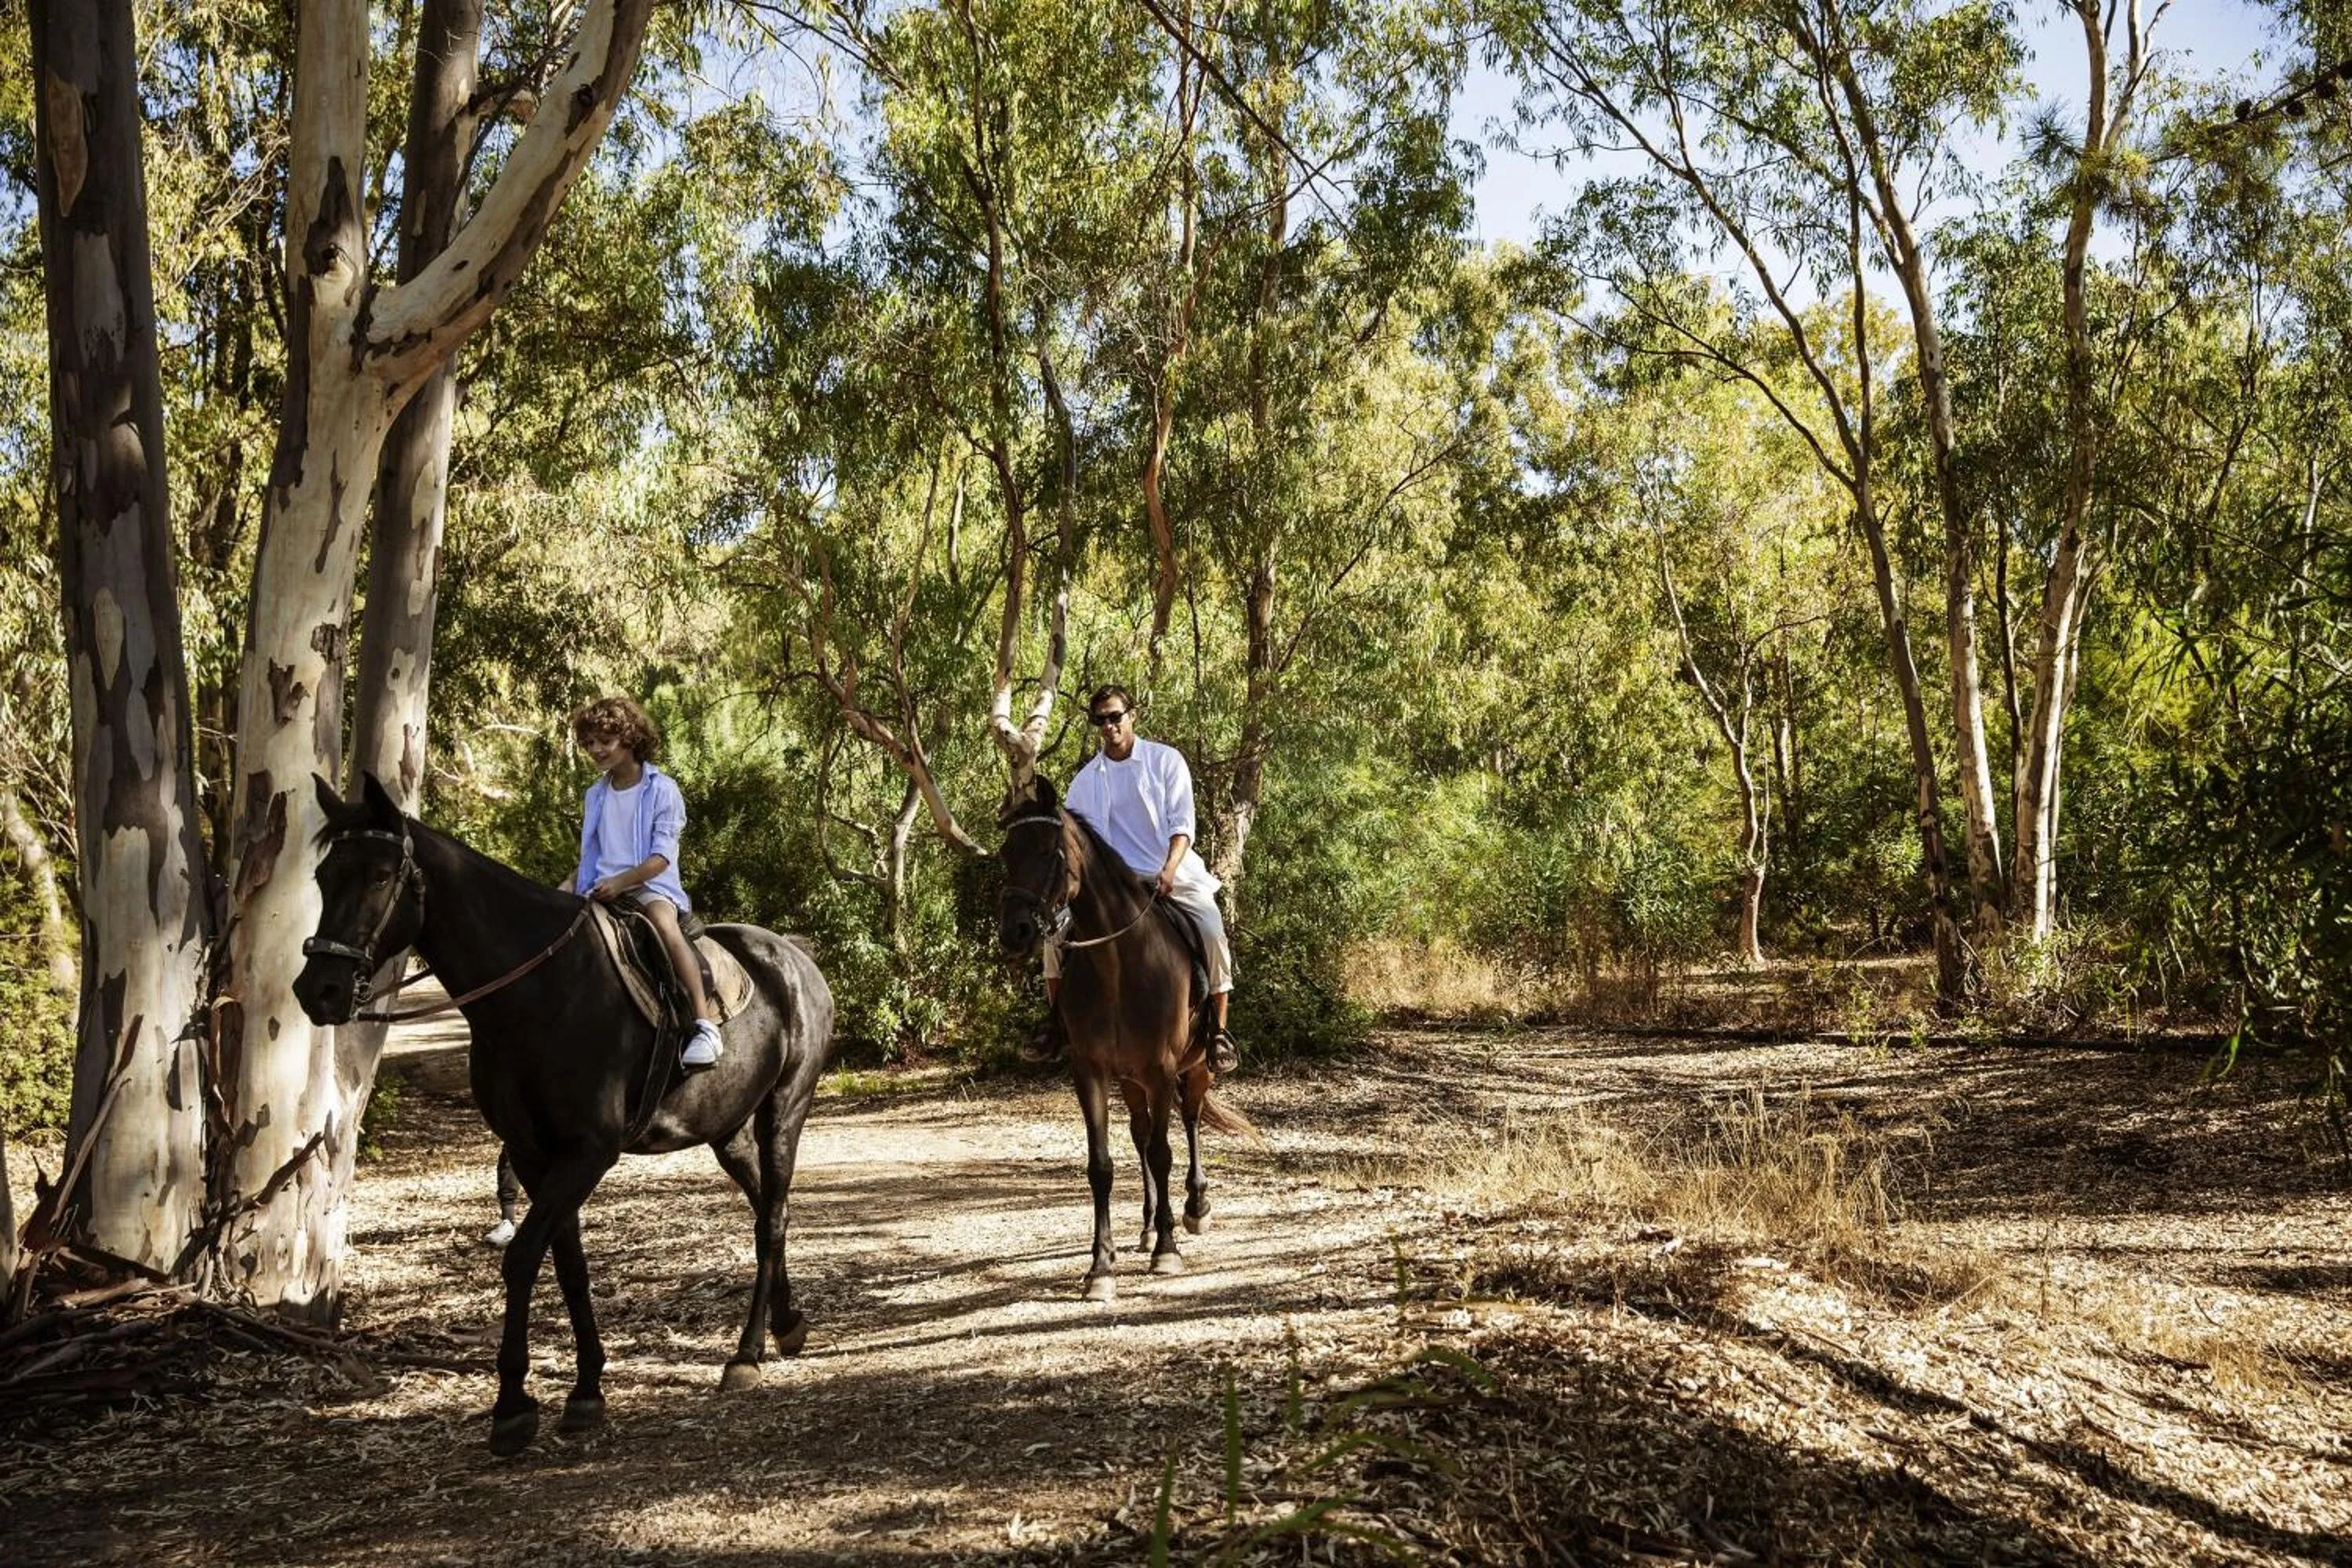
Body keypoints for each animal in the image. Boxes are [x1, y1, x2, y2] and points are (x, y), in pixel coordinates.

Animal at [293, 774, 833, 1455]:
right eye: (323, 875)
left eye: (382, 875)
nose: (320, 991)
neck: (537, 993)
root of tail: (793, 957)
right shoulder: (535, 1154)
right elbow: (569, 1265)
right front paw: (586, 1389)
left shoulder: (587, 1151)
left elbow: (524, 1256)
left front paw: (513, 1406)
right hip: (728, 1131)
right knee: (767, 1210)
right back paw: (788, 1324)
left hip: (784, 1112)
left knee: (773, 1218)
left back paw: (747, 1354)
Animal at [995, 775, 1254, 1301]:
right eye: (1008, 851)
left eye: (1049, 849)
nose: (1016, 932)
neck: (1118, 964)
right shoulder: (1091, 1071)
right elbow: (1103, 1165)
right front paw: (1101, 1268)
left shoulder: (1161, 1069)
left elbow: (1163, 1152)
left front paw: (1169, 1252)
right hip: (1131, 1079)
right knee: (1139, 1133)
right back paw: (1150, 1226)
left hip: (1193, 1067)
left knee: (1189, 1119)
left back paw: (1194, 1208)